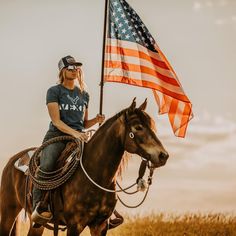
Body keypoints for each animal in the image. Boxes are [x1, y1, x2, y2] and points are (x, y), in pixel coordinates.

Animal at [0, 98, 170, 236]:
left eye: (151, 125)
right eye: (138, 127)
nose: (163, 156)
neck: (96, 174)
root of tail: (12, 161)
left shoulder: (100, 225)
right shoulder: (75, 225)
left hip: (36, 224)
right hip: (8, 213)